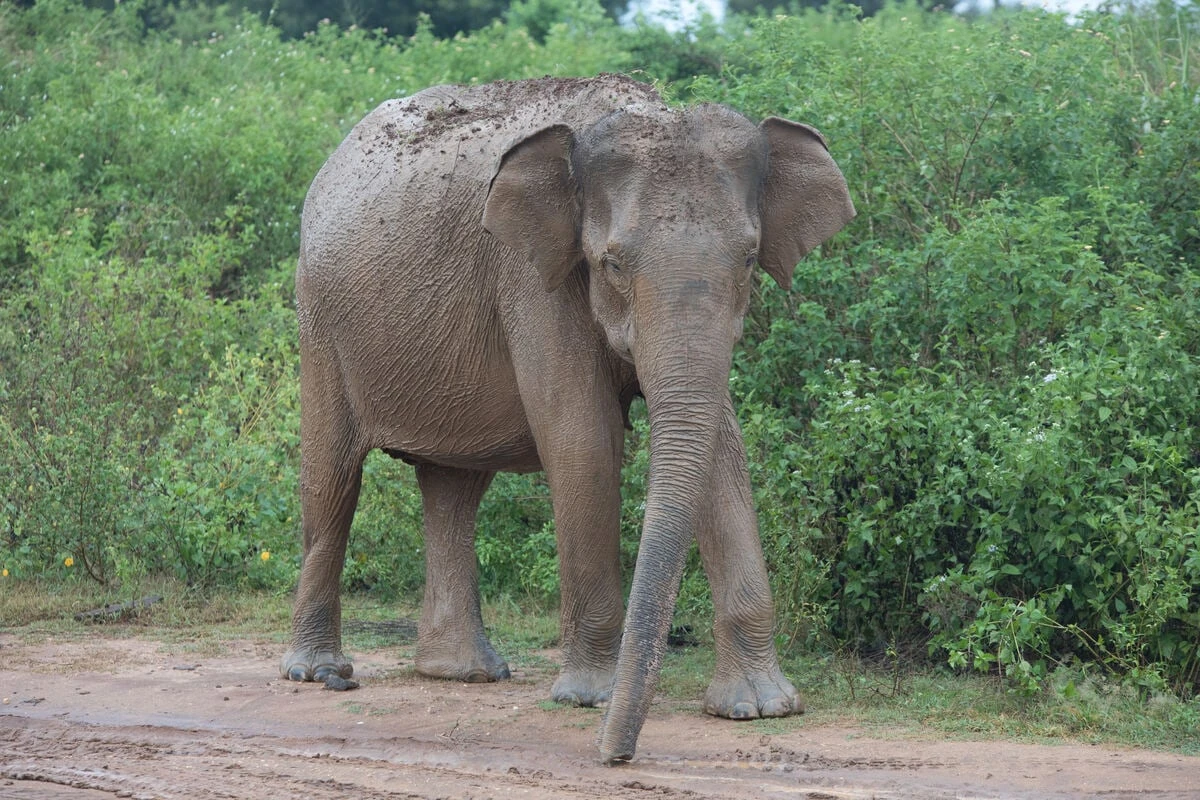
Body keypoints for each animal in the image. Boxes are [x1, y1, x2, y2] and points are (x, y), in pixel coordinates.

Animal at [282, 73, 855, 763]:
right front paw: (588, 698)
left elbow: (722, 449)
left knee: (454, 489)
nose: (615, 757)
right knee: (333, 480)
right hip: (318, 320)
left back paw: (462, 673)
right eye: (612, 264)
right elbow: (584, 441)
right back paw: (320, 673)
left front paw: (759, 708)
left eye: (748, 259)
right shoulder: (533, 277)